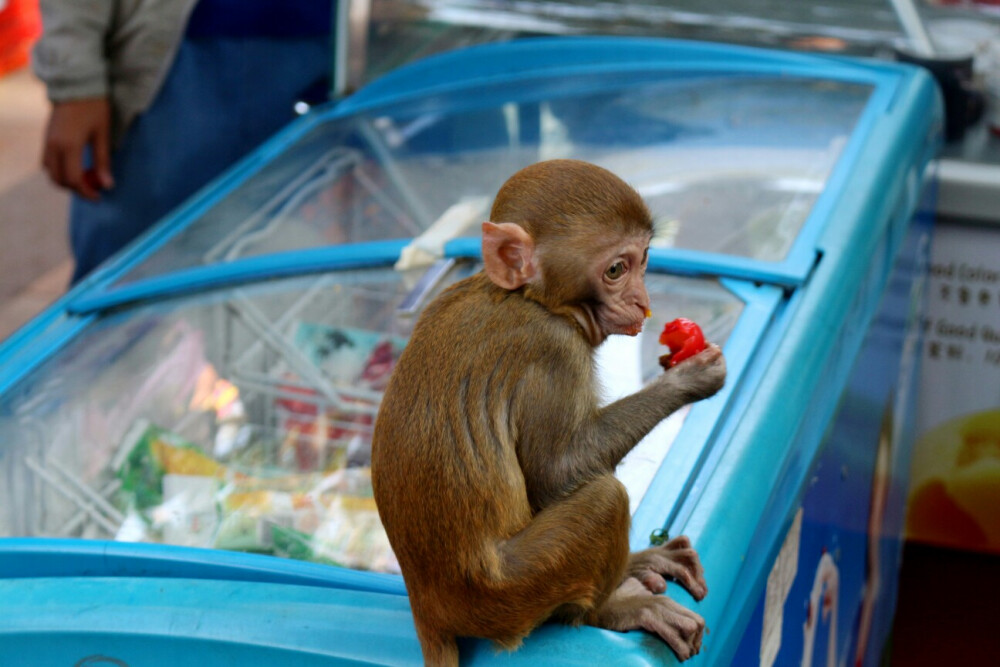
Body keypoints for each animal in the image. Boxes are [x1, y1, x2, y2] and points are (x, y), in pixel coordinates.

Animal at [374, 159, 728, 664]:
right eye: (616, 269)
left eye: (643, 260)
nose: (642, 301)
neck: (530, 298)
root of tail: (428, 608)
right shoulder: (554, 352)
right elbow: (557, 471)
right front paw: (688, 380)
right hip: (510, 594)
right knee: (605, 499)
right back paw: (612, 608)